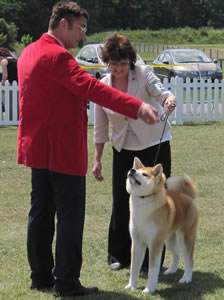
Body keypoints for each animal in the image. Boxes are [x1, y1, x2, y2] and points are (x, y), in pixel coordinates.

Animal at [125, 158, 199, 294]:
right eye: (137, 169)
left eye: (145, 174)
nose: (132, 170)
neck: (142, 202)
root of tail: (188, 197)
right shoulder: (137, 242)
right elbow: (134, 268)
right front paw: (131, 286)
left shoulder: (154, 244)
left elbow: (152, 270)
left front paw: (149, 289)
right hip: (169, 239)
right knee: (177, 253)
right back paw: (171, 270)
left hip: (185, 238)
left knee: (189, 260)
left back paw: (186, 278)